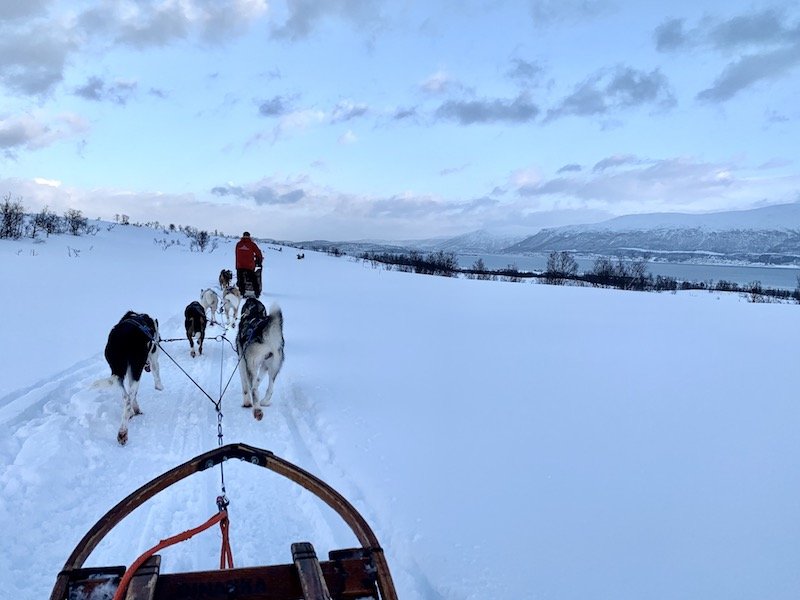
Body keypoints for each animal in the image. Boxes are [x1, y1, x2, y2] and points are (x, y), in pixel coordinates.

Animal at [96, 310, 163, 446]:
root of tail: (121, 339)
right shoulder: (153, 356)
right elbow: (156, 373)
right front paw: (159, 387)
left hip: (119, 372)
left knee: (126, 395)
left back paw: (132, 413)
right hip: (136, 368)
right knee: (128, 399)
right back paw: (123, 432)